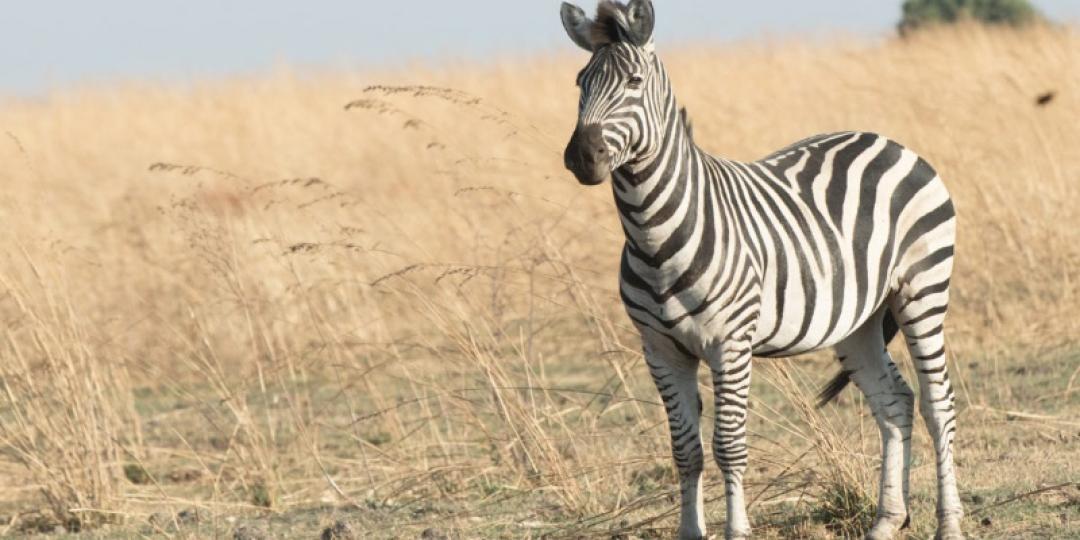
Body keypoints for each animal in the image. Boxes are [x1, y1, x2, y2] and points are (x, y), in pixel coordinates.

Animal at [561, 1, 967, 540]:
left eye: (632, 81)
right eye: (579, 82)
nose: (582, 157)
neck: (652, 235)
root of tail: (890, 142)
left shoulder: (729, 344)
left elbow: (729, 447)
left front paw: (736, 530)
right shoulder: (660, 350)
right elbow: (685, 452)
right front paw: (691, 531)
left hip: (922, 291)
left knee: (937, 404)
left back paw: (949, 523)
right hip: (857, 321)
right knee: (895, 400)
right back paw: (886, 521)